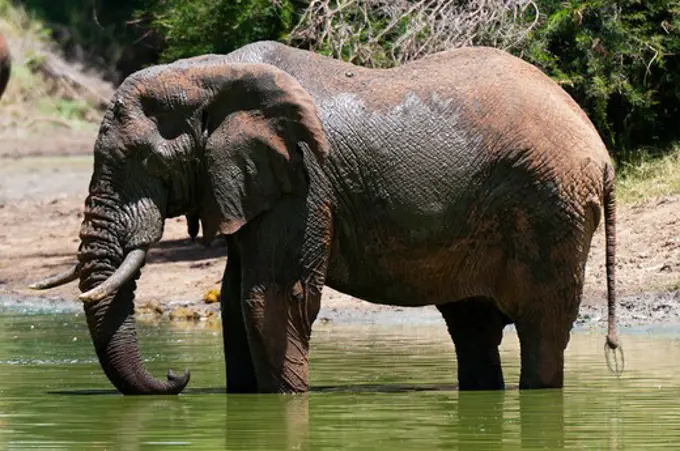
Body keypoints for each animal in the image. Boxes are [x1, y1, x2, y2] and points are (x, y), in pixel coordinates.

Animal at [29, 41, 620, 396]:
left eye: (146, 162)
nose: (178, 375)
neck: (208, 72)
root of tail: (601, 151)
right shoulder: (256, 184)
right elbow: (235, 303)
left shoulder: (305, 181)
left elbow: (270, 298)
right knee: (473, 328)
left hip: (551, 207)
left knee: (541, 328)